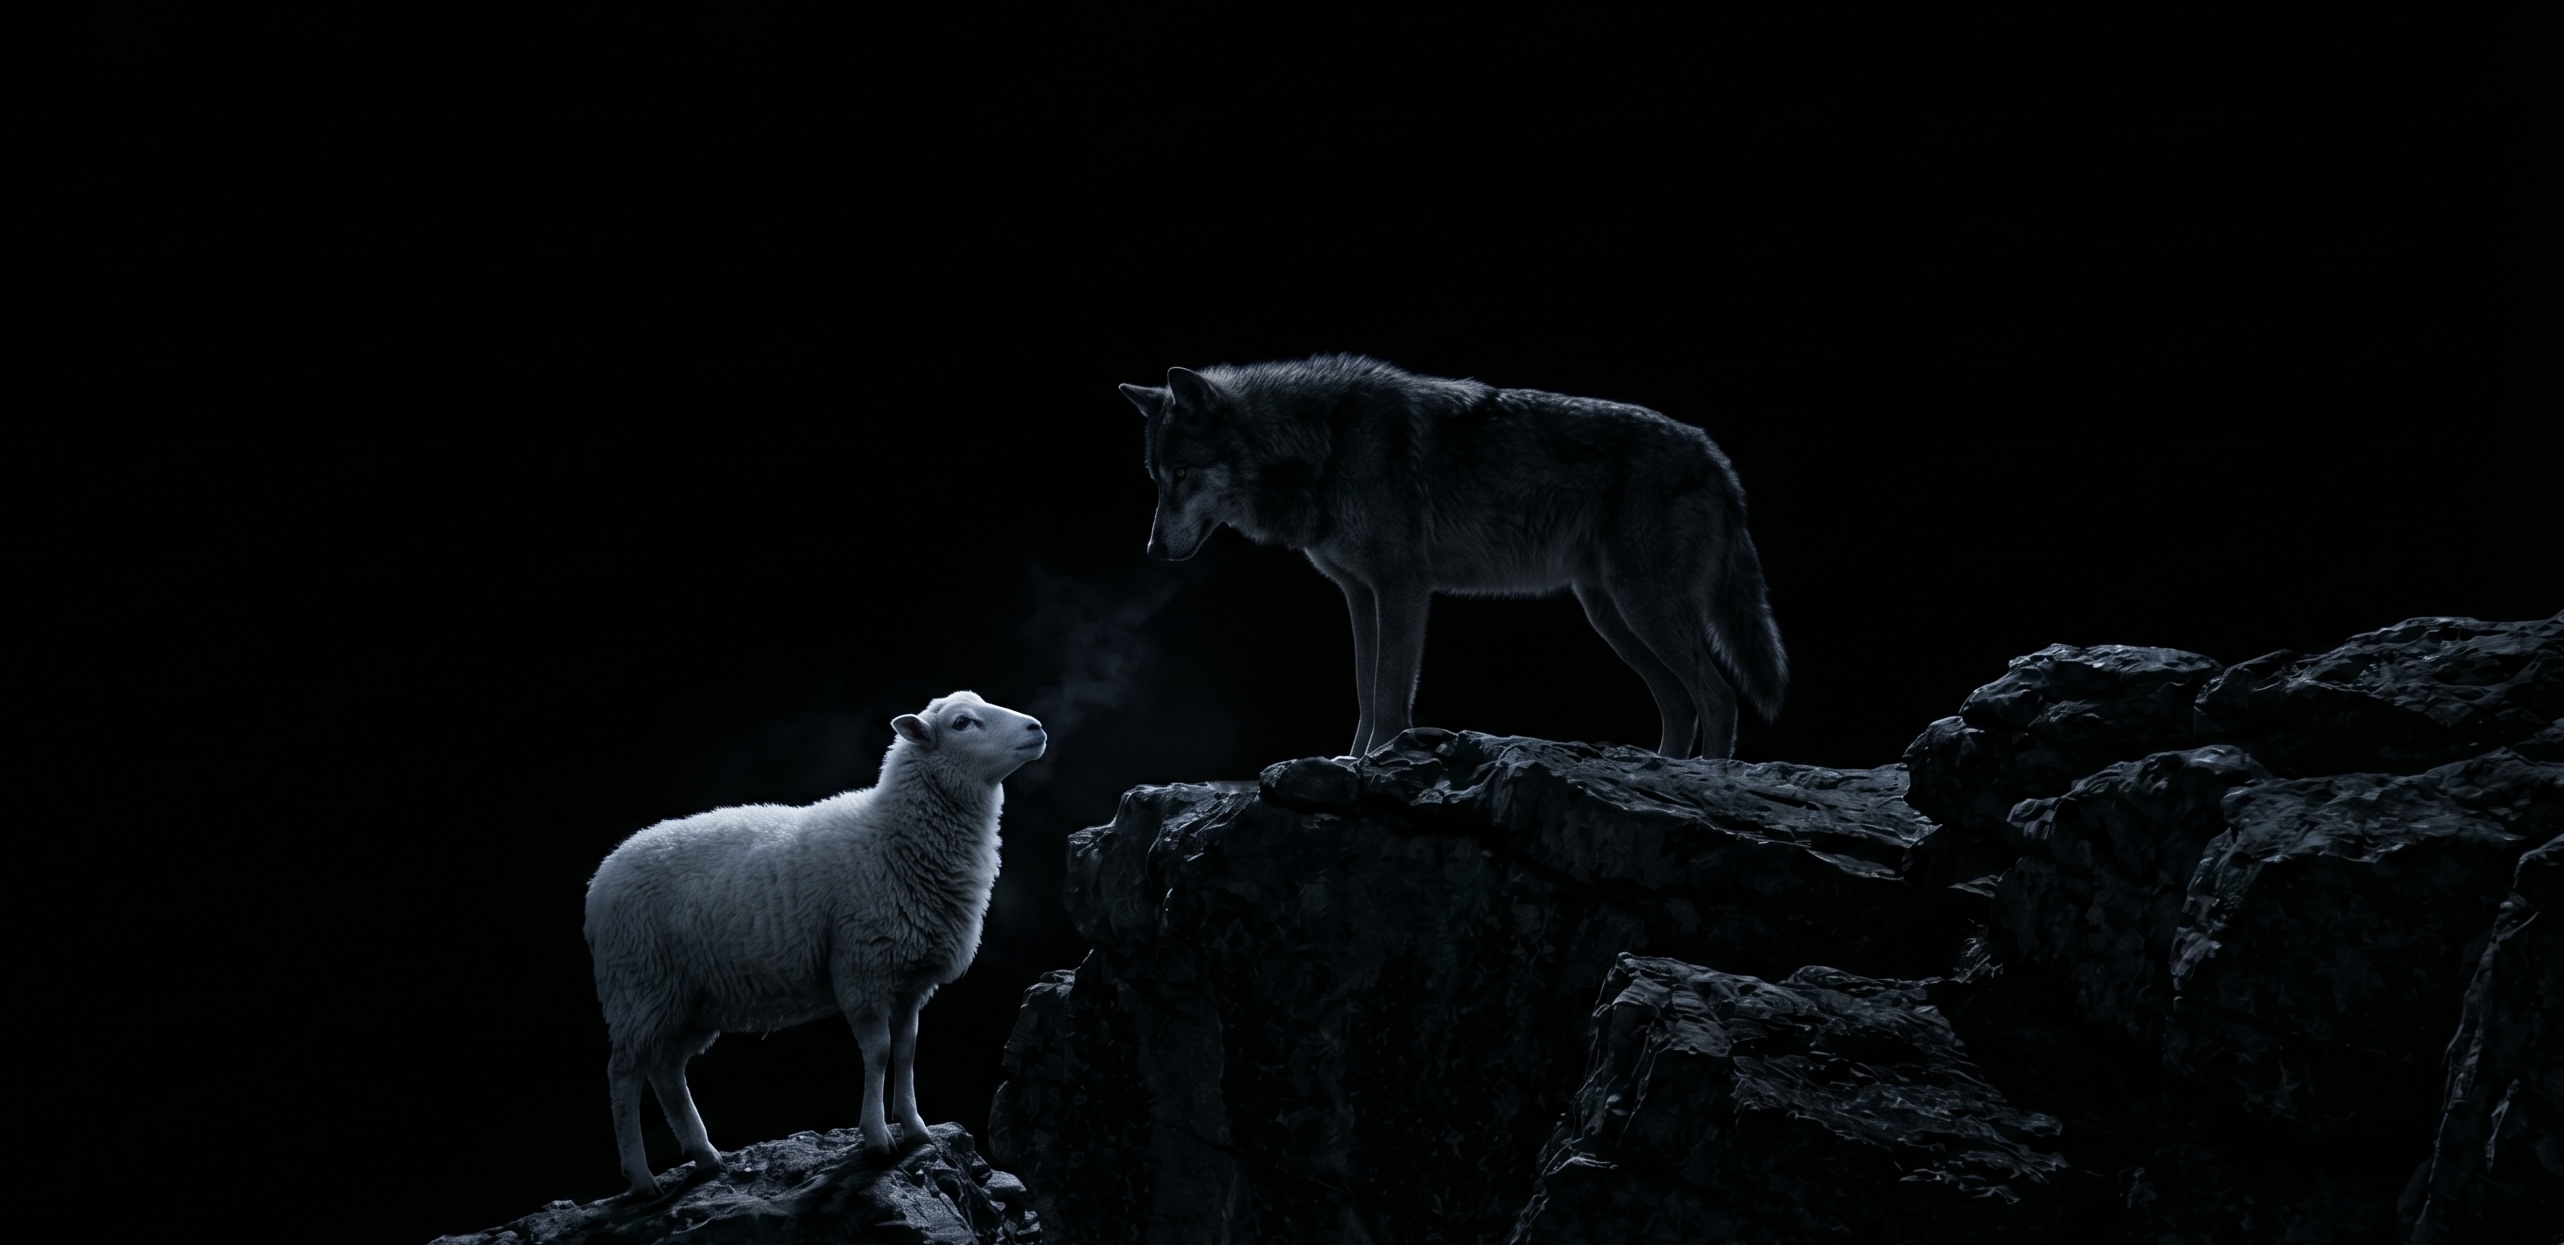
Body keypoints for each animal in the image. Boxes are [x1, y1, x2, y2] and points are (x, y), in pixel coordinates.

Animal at [583, 690, 1046, 1197]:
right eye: (962, 723)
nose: (1036, 728)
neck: (890, 834)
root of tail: (599, 881)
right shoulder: (862, 968)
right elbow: (879, 1052)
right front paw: (877, 1138)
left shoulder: (909, 980)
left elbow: (906, 1050)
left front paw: (916, 1128)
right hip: (638, 983)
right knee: (623, 1075)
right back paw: (642, 1177)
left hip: (685, 1000)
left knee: (666, 1071)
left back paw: (705, 1157)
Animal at [1121, 354, 1786, 759]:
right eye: (1156, 478)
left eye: (1181, 474)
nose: (1152, 548)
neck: (1325, 443)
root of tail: (1716, 459)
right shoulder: (1360, 595)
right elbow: (1364, 692)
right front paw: (1352, 760)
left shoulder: (1403, 587)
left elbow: (1390, 696)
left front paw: (1378, 762)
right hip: (1612, 616)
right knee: (1681, 704)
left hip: (1642, 608)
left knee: (1718, 698)